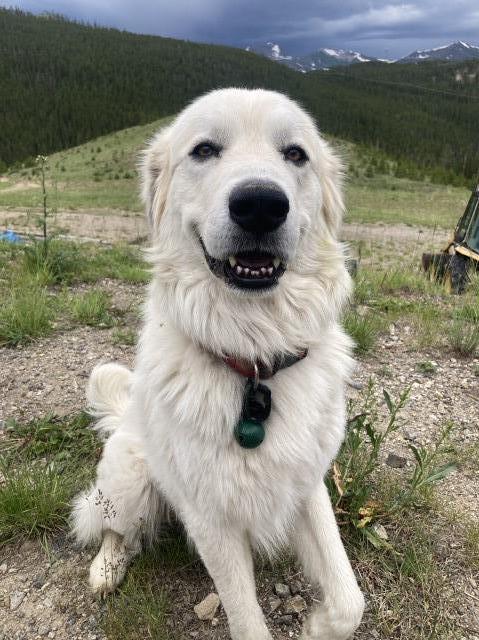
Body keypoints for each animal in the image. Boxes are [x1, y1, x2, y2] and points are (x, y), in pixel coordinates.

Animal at [70, 89, 364, 640]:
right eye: (205, 150)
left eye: (295, 154)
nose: (261, 205)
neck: (254, 358)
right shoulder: (212, 520)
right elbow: (246, 617)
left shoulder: (307, 483)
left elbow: (348, 599)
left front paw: (316, 625)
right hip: (131, 479)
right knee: (112, 527)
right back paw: (106, 568)